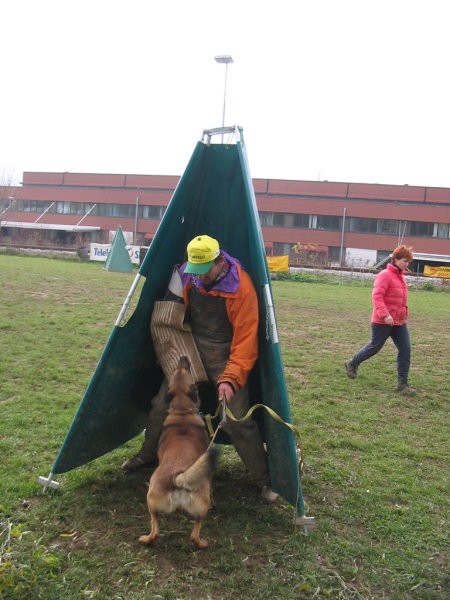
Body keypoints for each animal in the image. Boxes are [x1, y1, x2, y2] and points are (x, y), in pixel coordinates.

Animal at [138, 356, 217, 548]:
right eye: (182, 369)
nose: (183, 357)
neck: (182, 412)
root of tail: (179, 478)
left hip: (152, 500)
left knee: (156, 530)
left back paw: (146, 539)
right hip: (196, 505)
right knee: (191, 534)